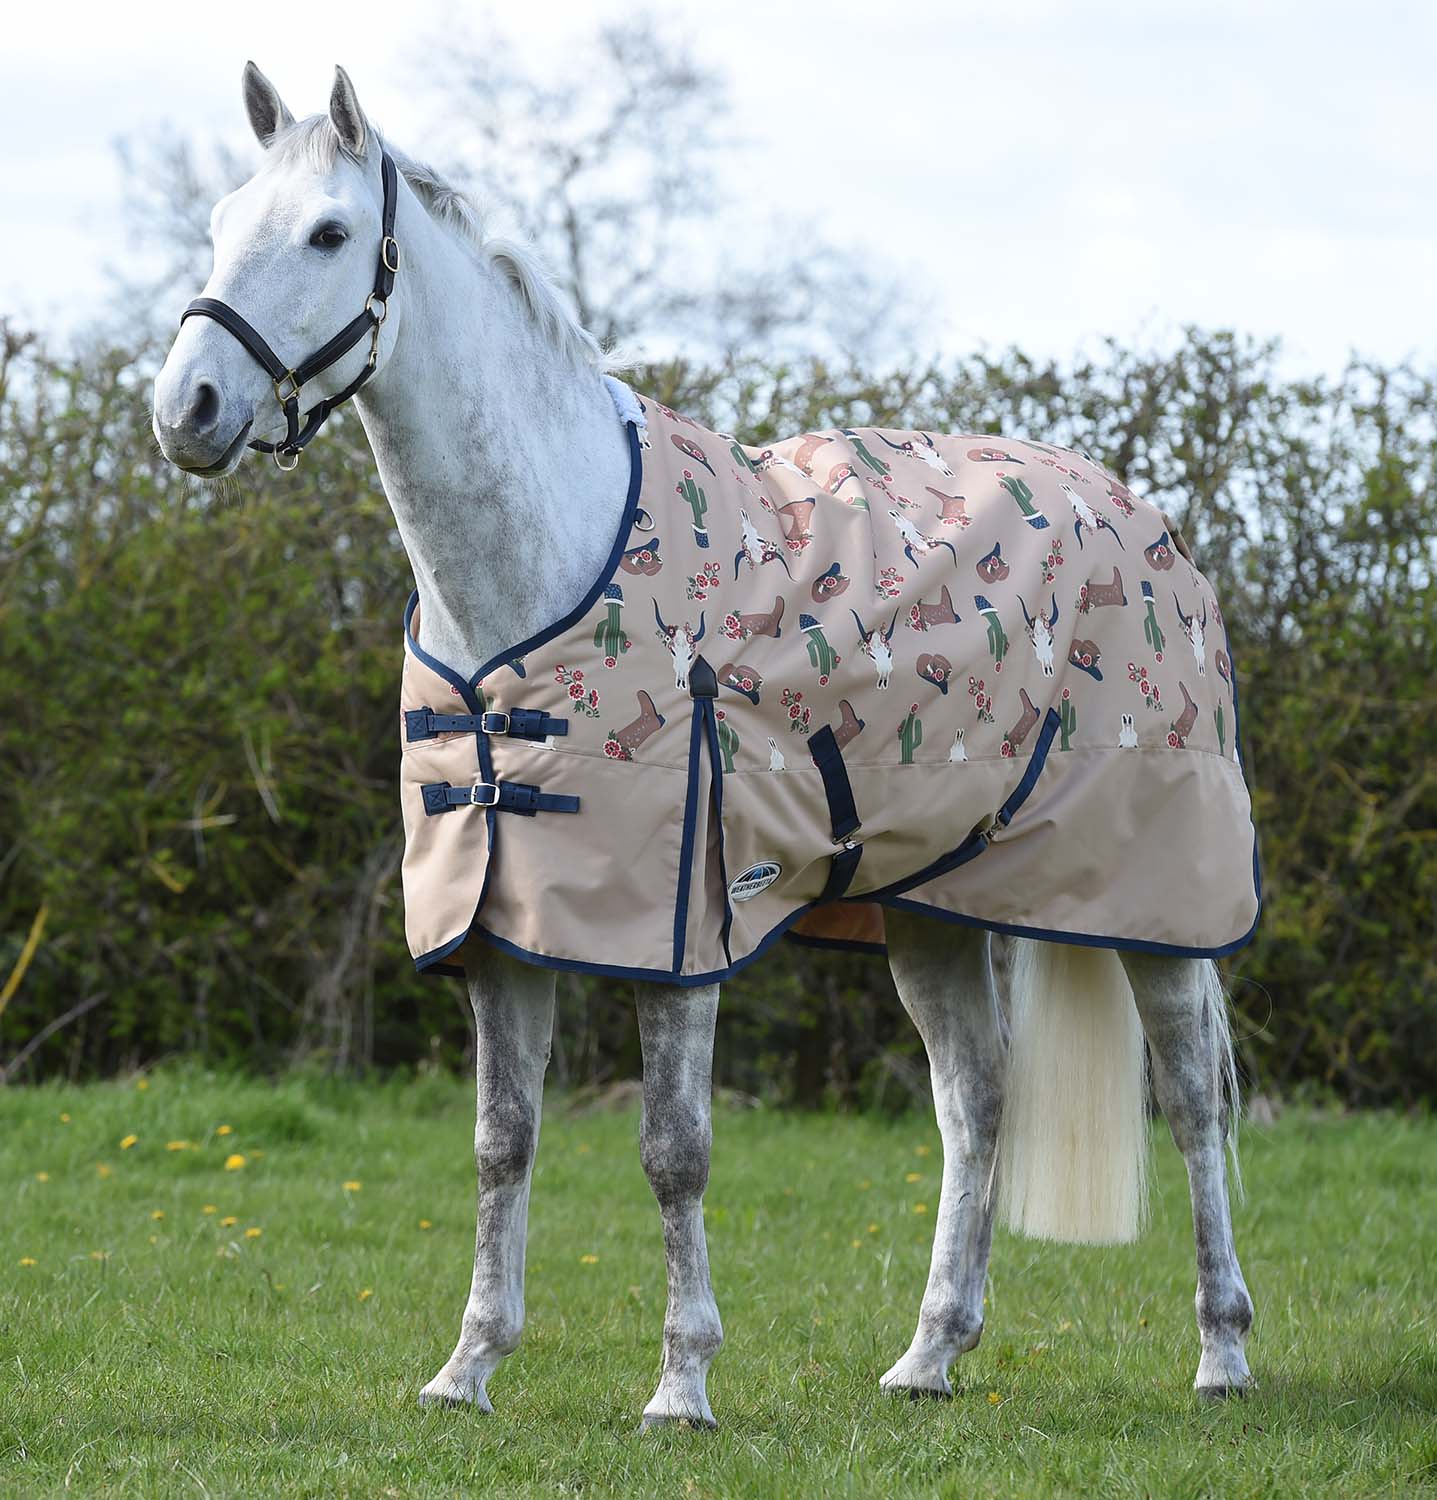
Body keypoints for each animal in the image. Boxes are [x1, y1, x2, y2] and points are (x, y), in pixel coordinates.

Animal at [151, 63, 1255, 1426]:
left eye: (327, 233)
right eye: (219, 223)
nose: (187, 410)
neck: (546, 563)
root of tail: (1151, 523)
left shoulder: (678, 936)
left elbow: (673, 1152)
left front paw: (681, 1383)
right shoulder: (501, 925)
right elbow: (500, 1144)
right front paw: (468, 1368)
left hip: (1161, 910)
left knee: (1194, 1102)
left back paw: (1221, 1355)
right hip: (938, 910)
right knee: (976, 1105)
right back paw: (930, 1356)